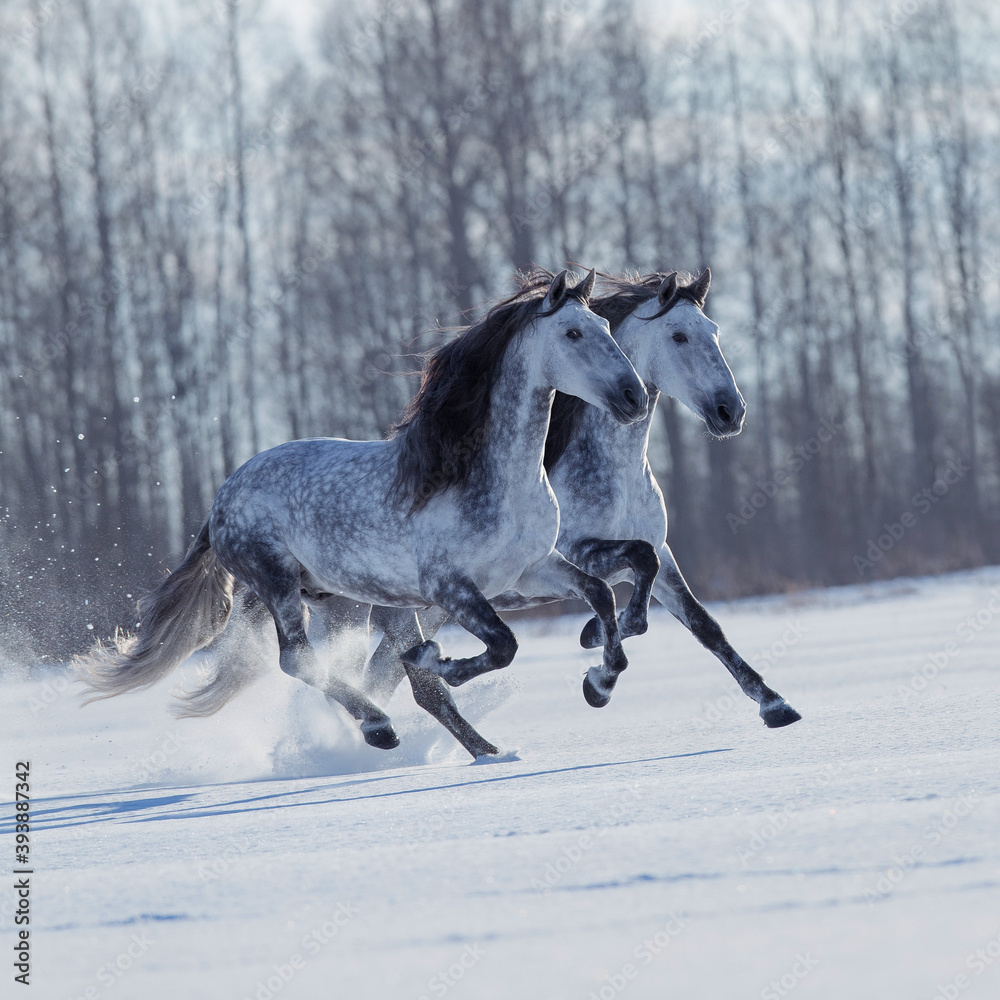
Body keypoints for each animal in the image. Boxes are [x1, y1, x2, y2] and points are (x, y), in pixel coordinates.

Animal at [81, 268, 650, 754]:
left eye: (605, 325)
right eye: (573, 333)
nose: (634, 396)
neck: (491, 480)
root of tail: (223, 496)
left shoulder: (533, 570)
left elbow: (600, 593)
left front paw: (599, 684)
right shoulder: (451, 587)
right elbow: (504, 646)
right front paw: (438, 660)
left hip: (339, 600)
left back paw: (467, 743)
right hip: (277, 580)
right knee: (298, 659)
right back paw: (380, 727)